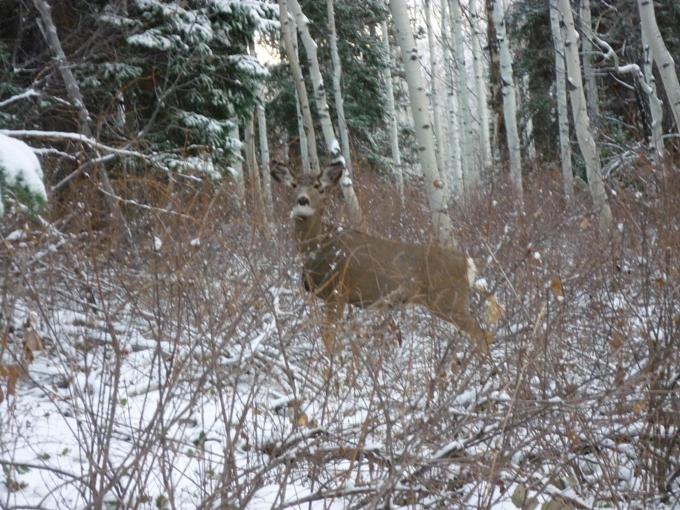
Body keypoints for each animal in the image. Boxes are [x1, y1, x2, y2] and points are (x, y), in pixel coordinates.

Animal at [272, 162, 494, 358]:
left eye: (318, 186)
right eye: (294, 185)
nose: (302, 201)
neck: (320, 247)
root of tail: (468, 263)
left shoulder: (337, 291)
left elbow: (329, 336)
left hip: (449, 299)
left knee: (479, 332)